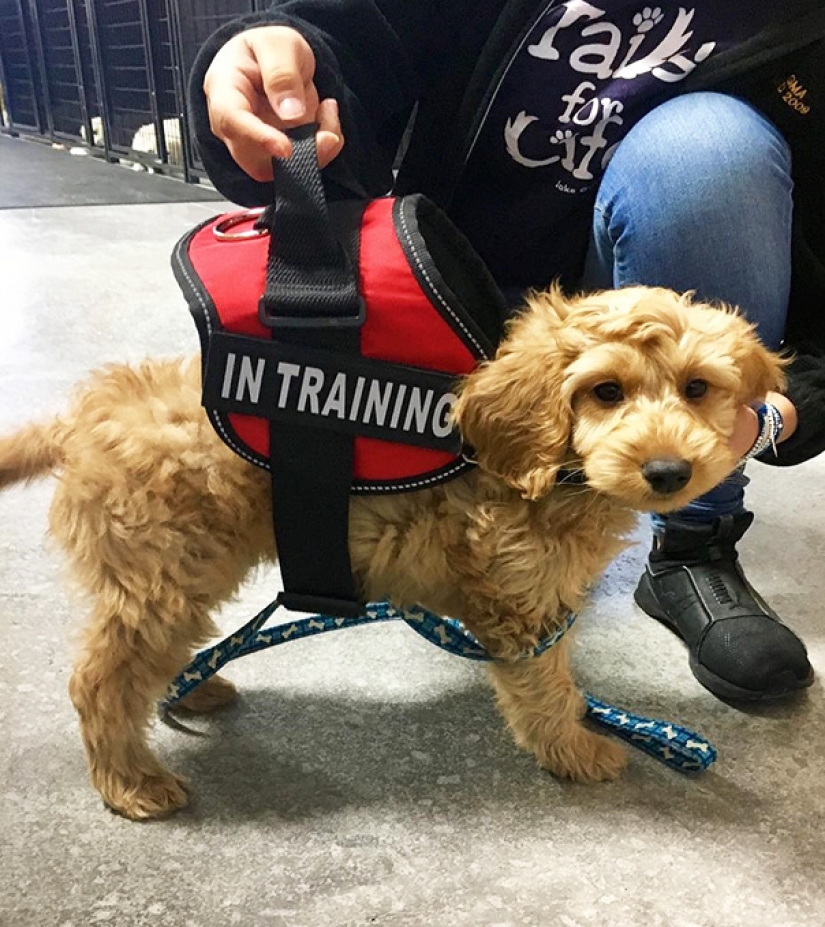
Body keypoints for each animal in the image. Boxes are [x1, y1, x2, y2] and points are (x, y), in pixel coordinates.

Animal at [0, 284, 784, 820]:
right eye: (605, 390)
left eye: (696, 388)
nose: (668, 472)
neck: (555, 475)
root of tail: (84, 420)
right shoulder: (519, 607)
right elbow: (544, 688)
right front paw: (573, 748)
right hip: (162, 577)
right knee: (100, 680)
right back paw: (131, 781)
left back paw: (193, 685)